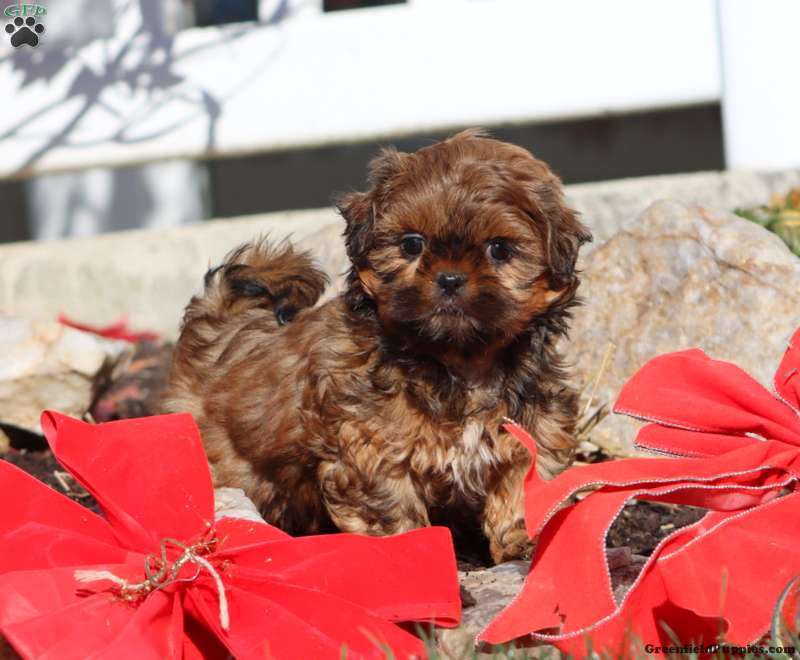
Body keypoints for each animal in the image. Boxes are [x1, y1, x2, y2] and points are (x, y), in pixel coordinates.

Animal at [163, 130, 591, 564]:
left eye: (500, 249)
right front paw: (413, 553)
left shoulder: (534, 429)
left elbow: (524, 486)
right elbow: (392, 509)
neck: (458, 361)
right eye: (412, 245)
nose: (450, 279)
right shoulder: (370, 448)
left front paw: (523, 541)